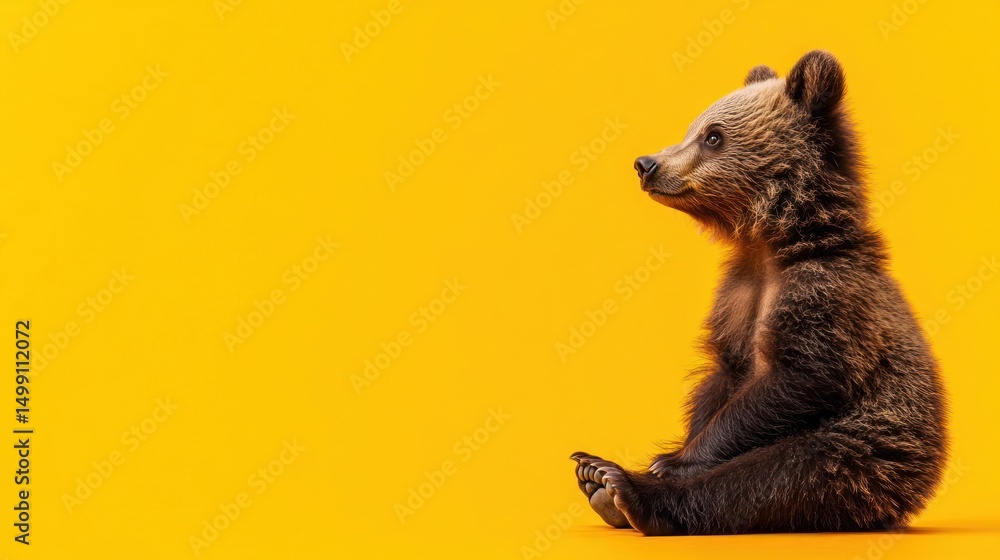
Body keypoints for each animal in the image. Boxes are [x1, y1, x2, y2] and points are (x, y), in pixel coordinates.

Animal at [570, 51, 948, 536]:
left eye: (713, 136)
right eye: (695, 128)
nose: (646, 164)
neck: (770, 245)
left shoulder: (826, 296)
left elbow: (795, 378)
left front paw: (671, 462)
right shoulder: (736, 297)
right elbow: (722, 375)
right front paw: (672, 449)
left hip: (870, 451)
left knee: (779, 473)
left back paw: (622, 487)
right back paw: (598, 478)